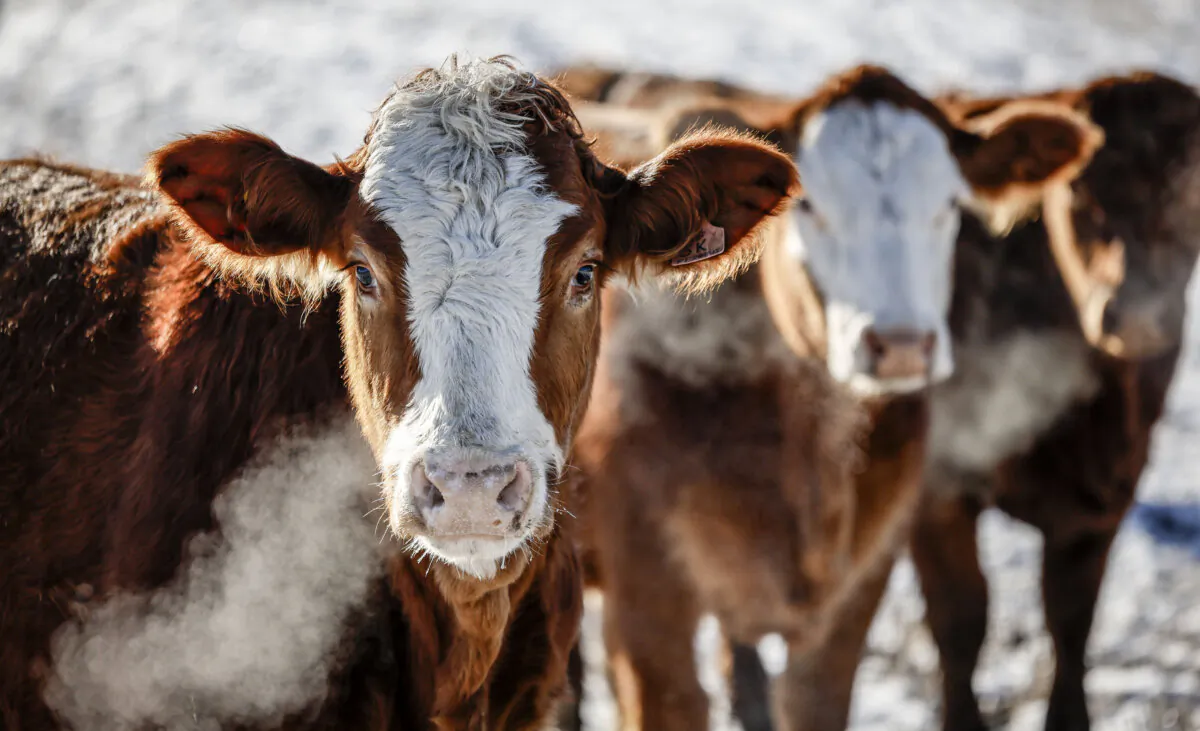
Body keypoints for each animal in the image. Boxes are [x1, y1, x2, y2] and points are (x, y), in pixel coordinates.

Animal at [911, 71, 1200, 731]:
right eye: (1077, 193)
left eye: (1193, 189)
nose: (1136, 311)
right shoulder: (937, 488)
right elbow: (961, 622)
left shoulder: (1104, 499)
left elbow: (1071, 624)